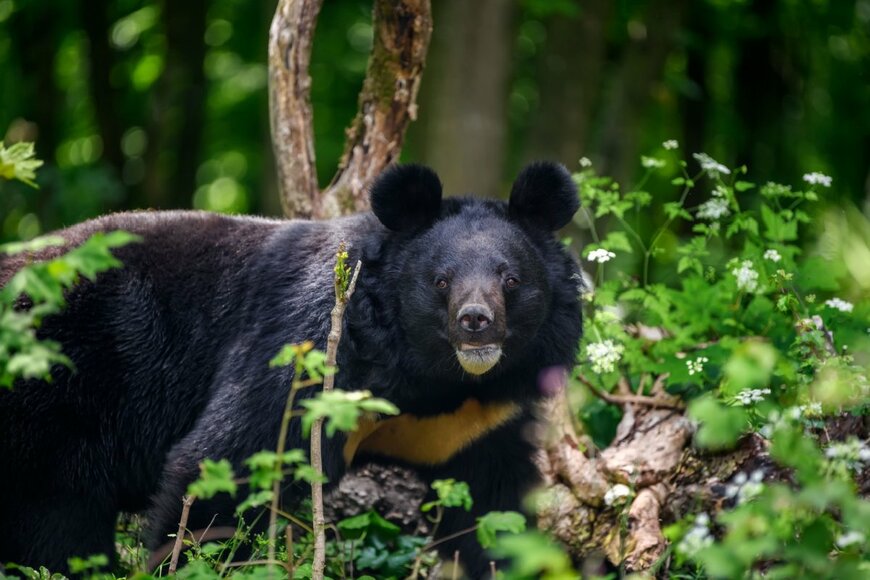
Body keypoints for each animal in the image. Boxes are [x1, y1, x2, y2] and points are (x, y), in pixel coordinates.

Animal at [1, 161, 584, 576]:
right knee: (57, 525)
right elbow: (228, 463)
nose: (476, 322)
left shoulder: (481, 420)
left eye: (511, 279)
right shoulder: (306, 345)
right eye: (441, 281)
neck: (435, 378)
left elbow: (494, 511)